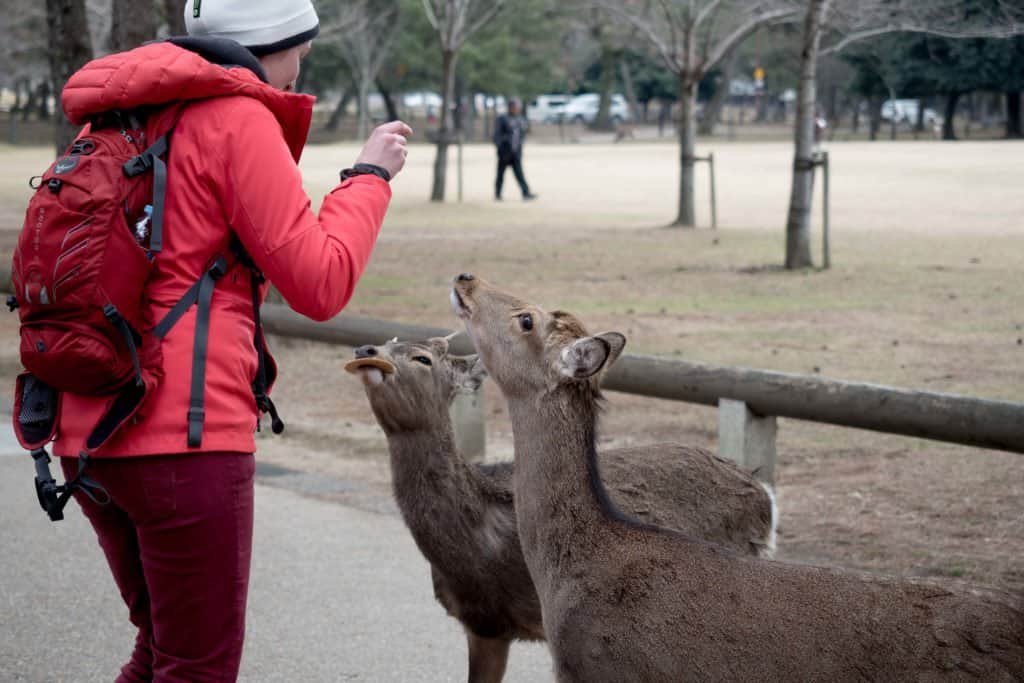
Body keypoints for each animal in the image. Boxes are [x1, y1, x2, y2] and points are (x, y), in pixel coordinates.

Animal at [344, 333, 774, 679]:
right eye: (386, 342)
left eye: (422, 358)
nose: (366, 349)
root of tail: (763, 493)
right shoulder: (479, 623)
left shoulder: (515, 625)